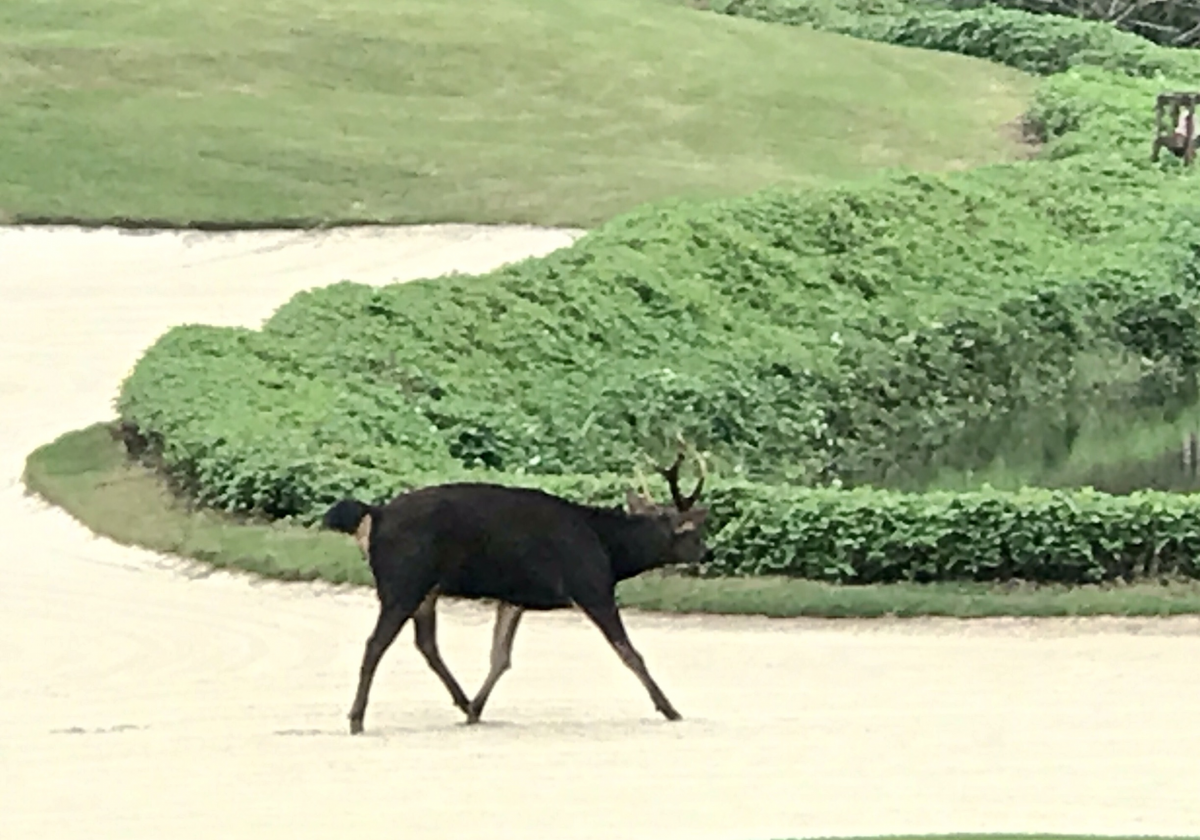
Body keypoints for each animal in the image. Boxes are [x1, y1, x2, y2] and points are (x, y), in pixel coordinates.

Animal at [324, 448, 705, 729]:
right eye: (690, 531)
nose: (707, 552)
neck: (611, 553)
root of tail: (375, 513)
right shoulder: (591, 585)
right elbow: (630, 652)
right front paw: (670, 708)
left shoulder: (515, 596)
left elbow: (500, 657)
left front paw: (477, 708)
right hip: (402, 582)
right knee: (376, 644)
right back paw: (357, 718)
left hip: (424, 589)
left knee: (426, 643)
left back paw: (463, 703)